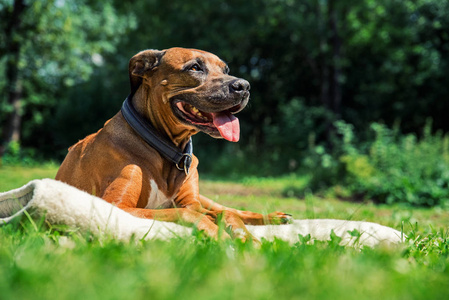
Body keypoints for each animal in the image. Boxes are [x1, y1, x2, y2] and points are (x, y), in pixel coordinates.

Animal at [56, 47, 292, 241]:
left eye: (226, 69)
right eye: (195, 68)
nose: (244, 85)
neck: (167, 150)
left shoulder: (192, 201)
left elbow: (227, 213)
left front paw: (247, 237)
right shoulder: (116, 207)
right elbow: (188, 213)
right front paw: (223, 237)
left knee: (231, 208)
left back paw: (275, 217)